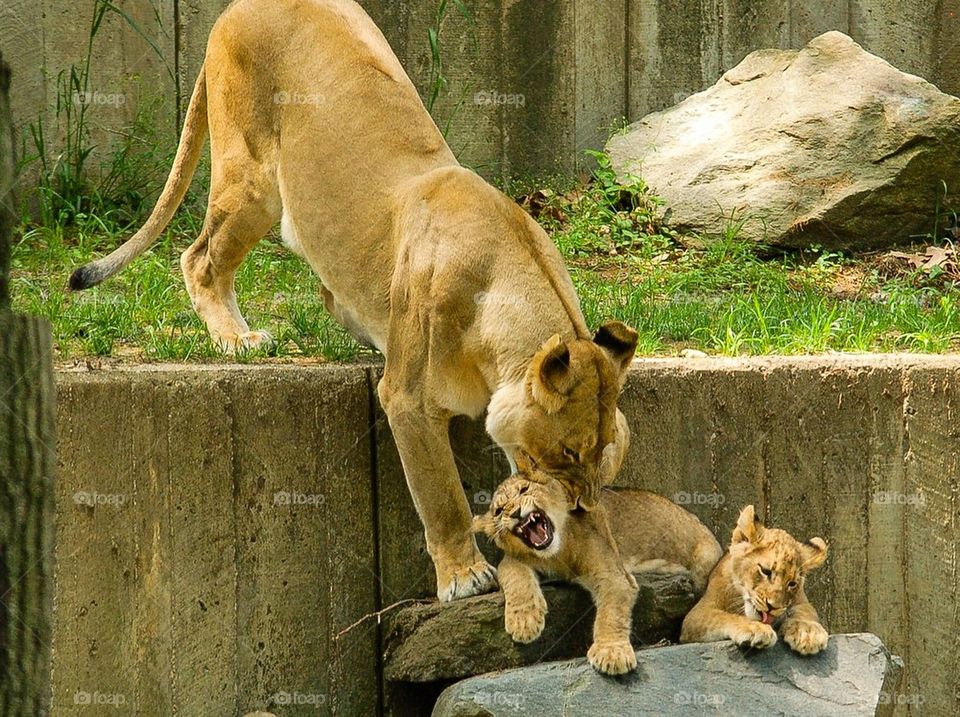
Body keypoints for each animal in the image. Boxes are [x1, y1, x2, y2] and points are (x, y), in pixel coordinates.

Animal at [67, 0, 638, 601]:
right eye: (569, 452)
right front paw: (464, 575)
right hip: (251, 179)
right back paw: (236, 338)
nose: (582, 510)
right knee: (199, 257)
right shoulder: (407, 398)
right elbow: (442, 497)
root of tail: (237, 7)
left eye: (605, 457)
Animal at [473, 459, 722, 674]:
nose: (515, 513)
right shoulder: (514, 558)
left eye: (524, 490)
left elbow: (611, 613)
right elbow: (514, 574)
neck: (558, 552)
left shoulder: (612, 574)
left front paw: (611, 653)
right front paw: (523, 622)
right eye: (499, 511)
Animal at [679, 505, 829, 655]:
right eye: (765, 571)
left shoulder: (801, 601)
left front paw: (808, 632)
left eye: (792, 583)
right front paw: (755, 628)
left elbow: (806, 612)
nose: (772, 607)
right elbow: (724, 617)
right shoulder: (697, 614)